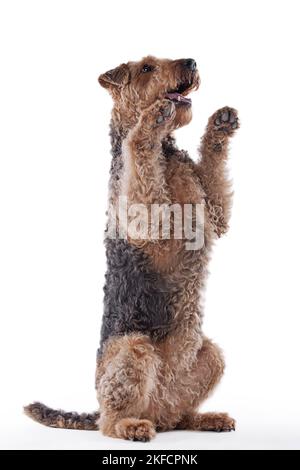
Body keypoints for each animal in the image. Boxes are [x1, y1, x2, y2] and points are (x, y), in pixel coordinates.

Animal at [25, 55, 239, 440]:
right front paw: (150, 120)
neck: (165, 153)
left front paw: (221, 125)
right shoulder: (148, 219)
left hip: (210, 356)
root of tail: (157, 406)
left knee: (180, 414)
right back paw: (133, 426)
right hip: (132, 348)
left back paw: (208, 418)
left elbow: (214, 178)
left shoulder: (214, 214)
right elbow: (138, 147)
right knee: (109, 422)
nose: (191, 61)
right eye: (146, 68)